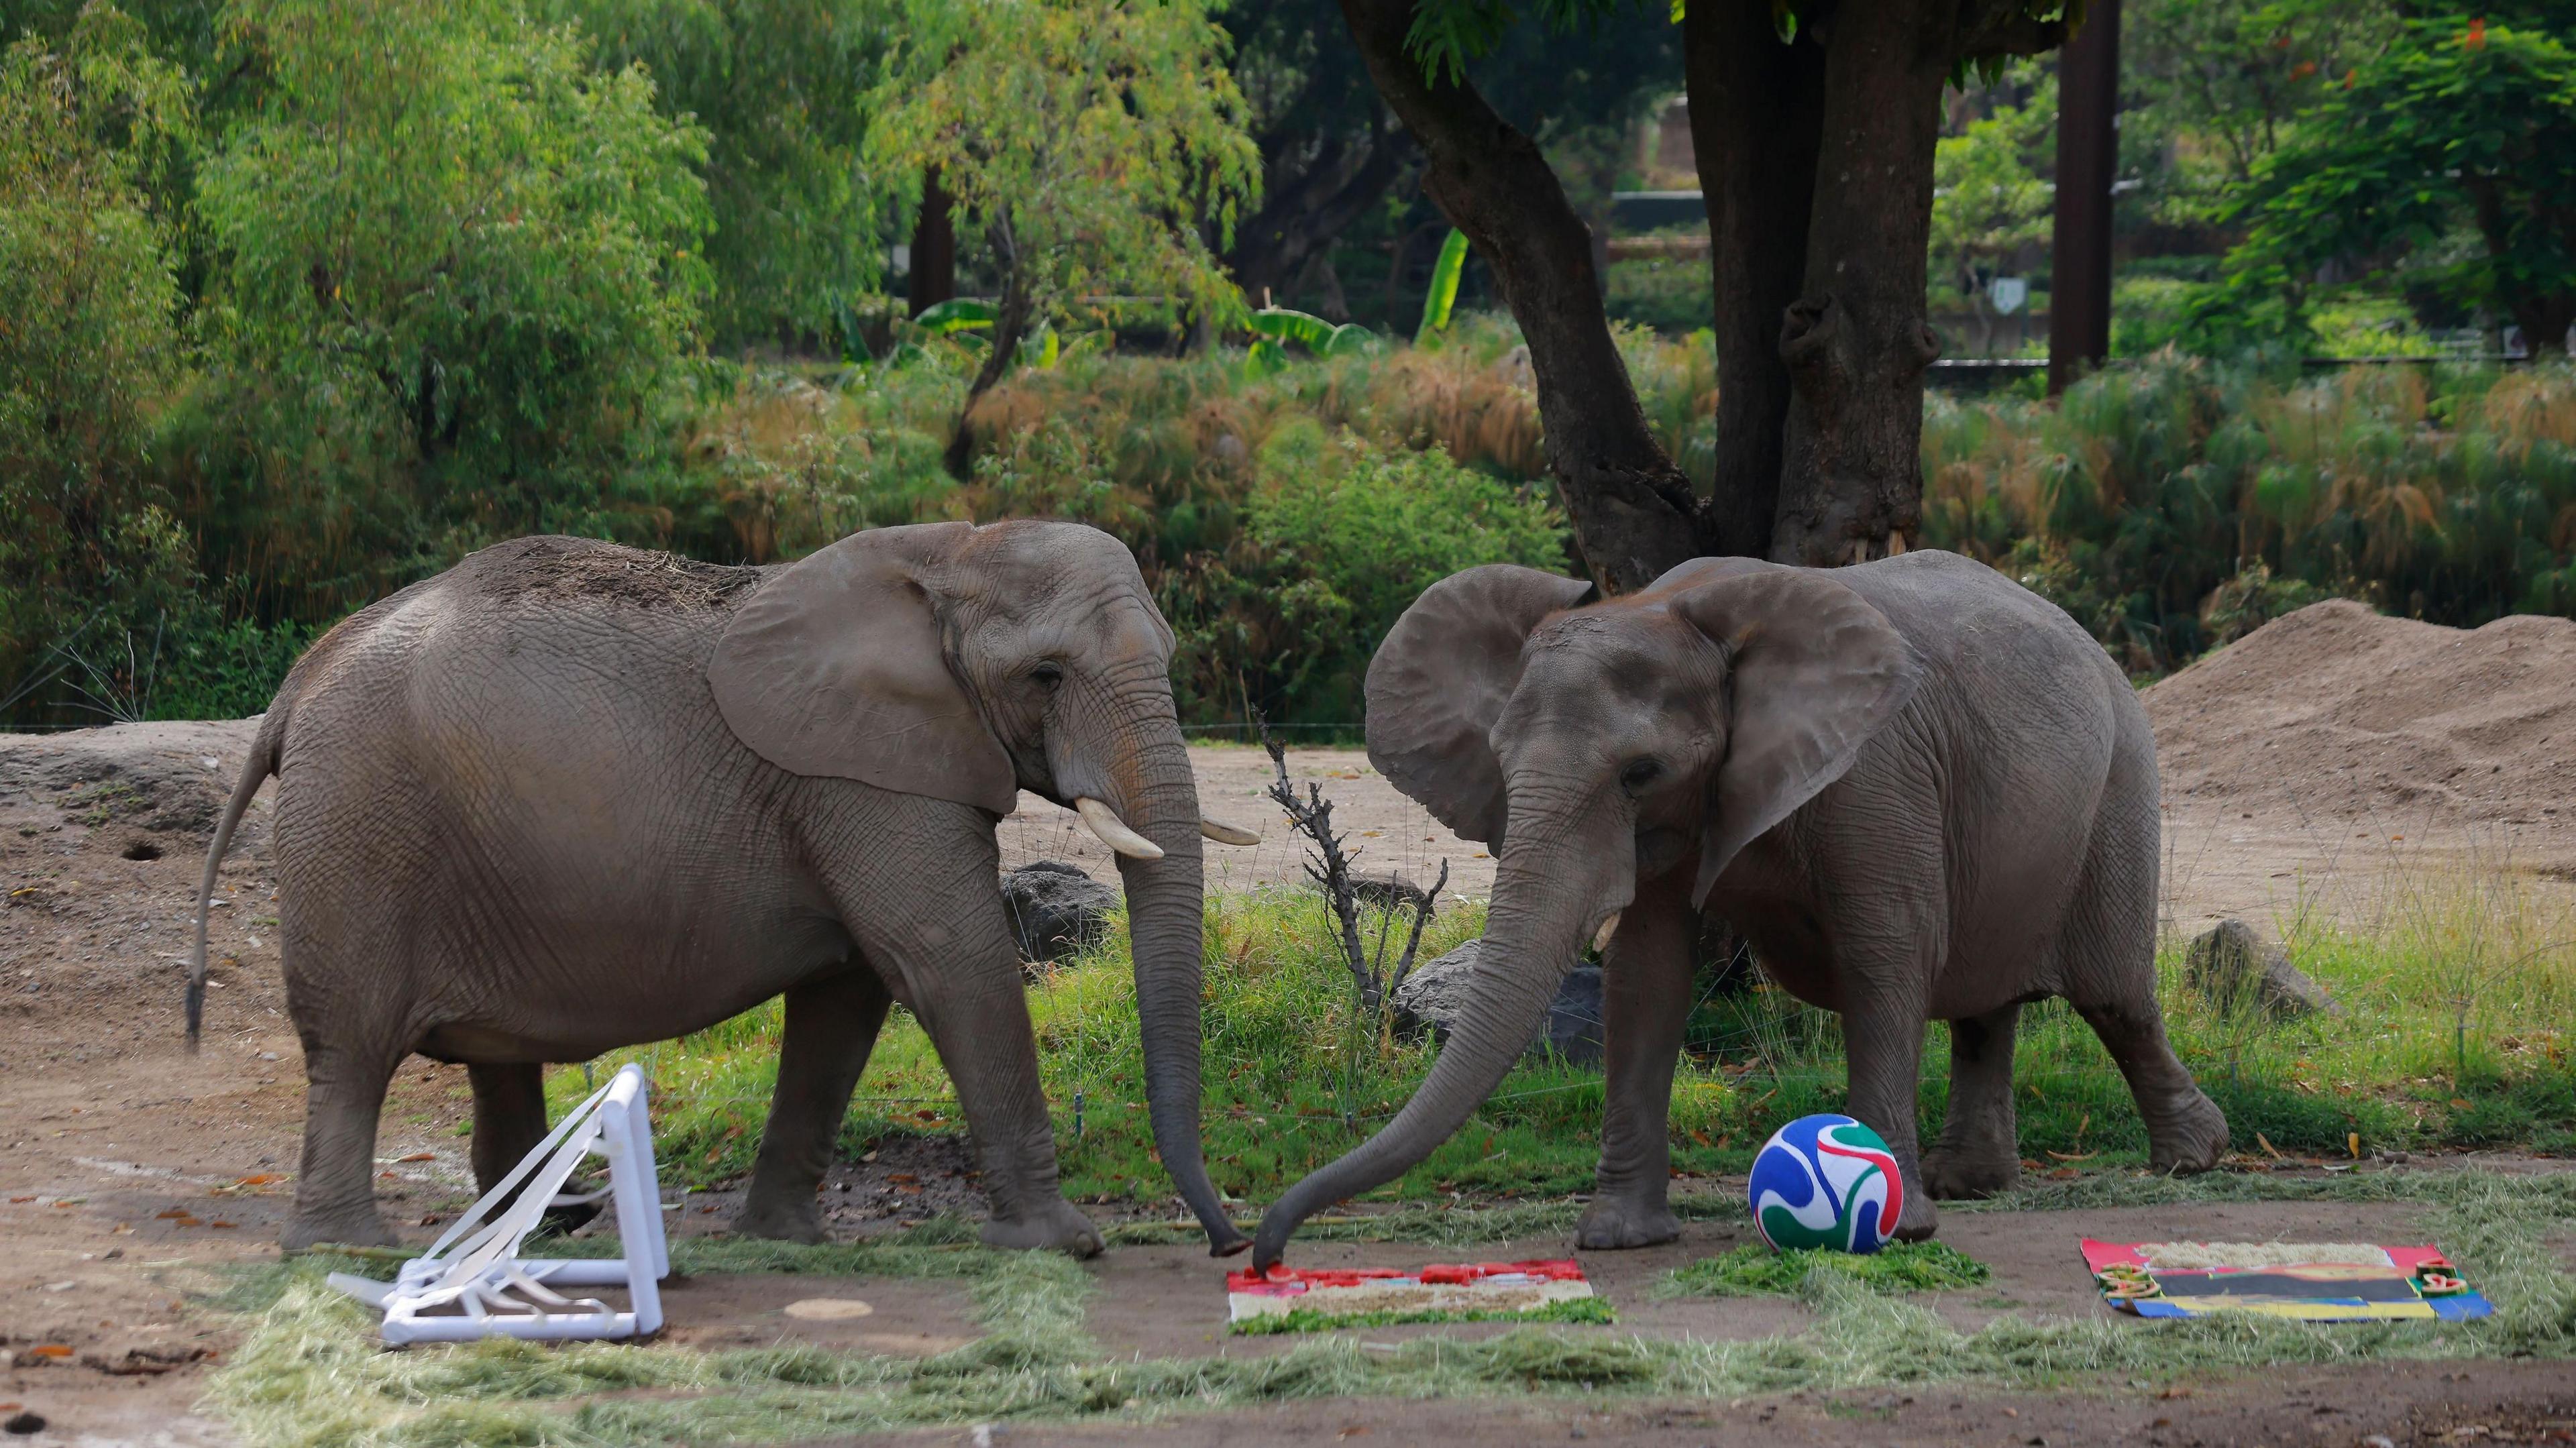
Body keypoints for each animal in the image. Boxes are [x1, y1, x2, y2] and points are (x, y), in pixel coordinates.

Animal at [187, 521, 1257, 1257]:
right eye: (1045, 675)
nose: (1232, 1240)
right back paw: (350, 1247)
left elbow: (846, 997)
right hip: (360, 827)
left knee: (494, 1058)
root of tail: (300, 679)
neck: (950, 549)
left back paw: (536, 1232)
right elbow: (949, 961)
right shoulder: (864, 778)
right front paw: (1060, 1243)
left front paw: (786, 1239)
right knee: (352, 1046)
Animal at [1252, 549, 2227, 1269]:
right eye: (1498, 759)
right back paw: (1971, 1183)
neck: (1677, 608)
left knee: (2112, 995)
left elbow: (1886, 954)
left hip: (2121, 784)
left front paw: (1893, 1231)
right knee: (1987, 1003)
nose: (1261, 1251)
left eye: (1640, 771)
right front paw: (1619, 1238)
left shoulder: (1877, 770)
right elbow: (1647, 971)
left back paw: (2194, 1157)